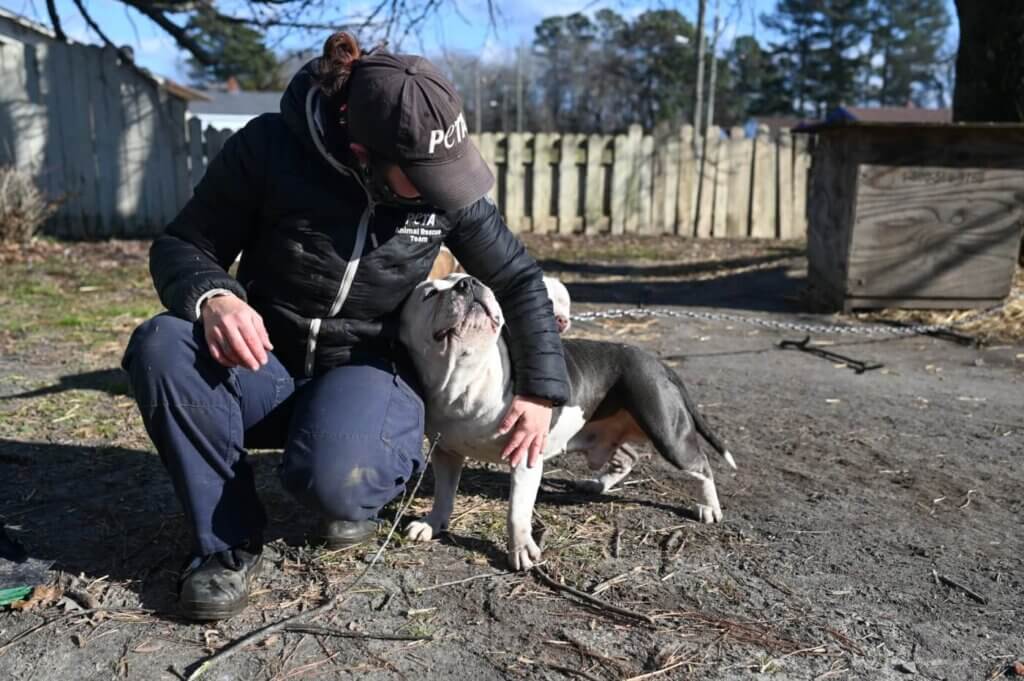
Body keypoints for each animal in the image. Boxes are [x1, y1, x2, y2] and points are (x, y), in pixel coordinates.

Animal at [399, 272, 737, 569]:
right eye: (429, 294)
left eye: (474, 278)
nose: (469, 283)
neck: (466, 377)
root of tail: (655, 361)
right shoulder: (446, 453)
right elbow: (444, 494)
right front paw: (432, 523)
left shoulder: (526, 454)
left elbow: (517, 512)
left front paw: (521, 550)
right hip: (604, 430)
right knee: (629, 456)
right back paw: (596, 484)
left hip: (667, 431)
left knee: (701, 464)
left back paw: (709, 507)